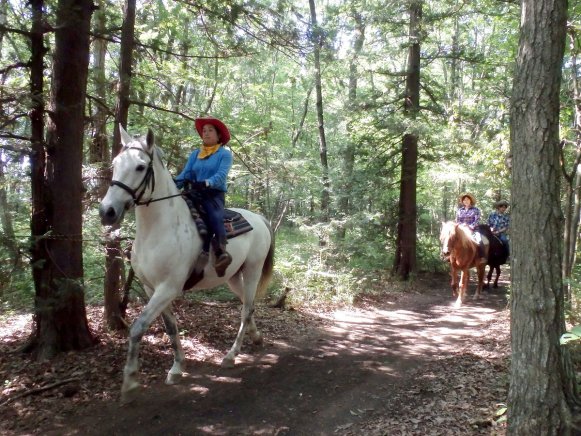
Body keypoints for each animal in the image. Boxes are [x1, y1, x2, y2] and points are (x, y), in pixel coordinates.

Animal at [98, 126, 274, 402]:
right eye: (115, 163)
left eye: (140, 167)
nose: (107, 211)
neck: (158, 229)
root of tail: (259, 219)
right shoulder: (152, 288)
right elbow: (171, 327)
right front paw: (177, 368)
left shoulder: (168, 288)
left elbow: (138, 327)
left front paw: (130, 382)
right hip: (234, 277)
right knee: (250, 305)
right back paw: (256, 338)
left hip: (253, 270)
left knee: (245, 310)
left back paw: (231, 355)